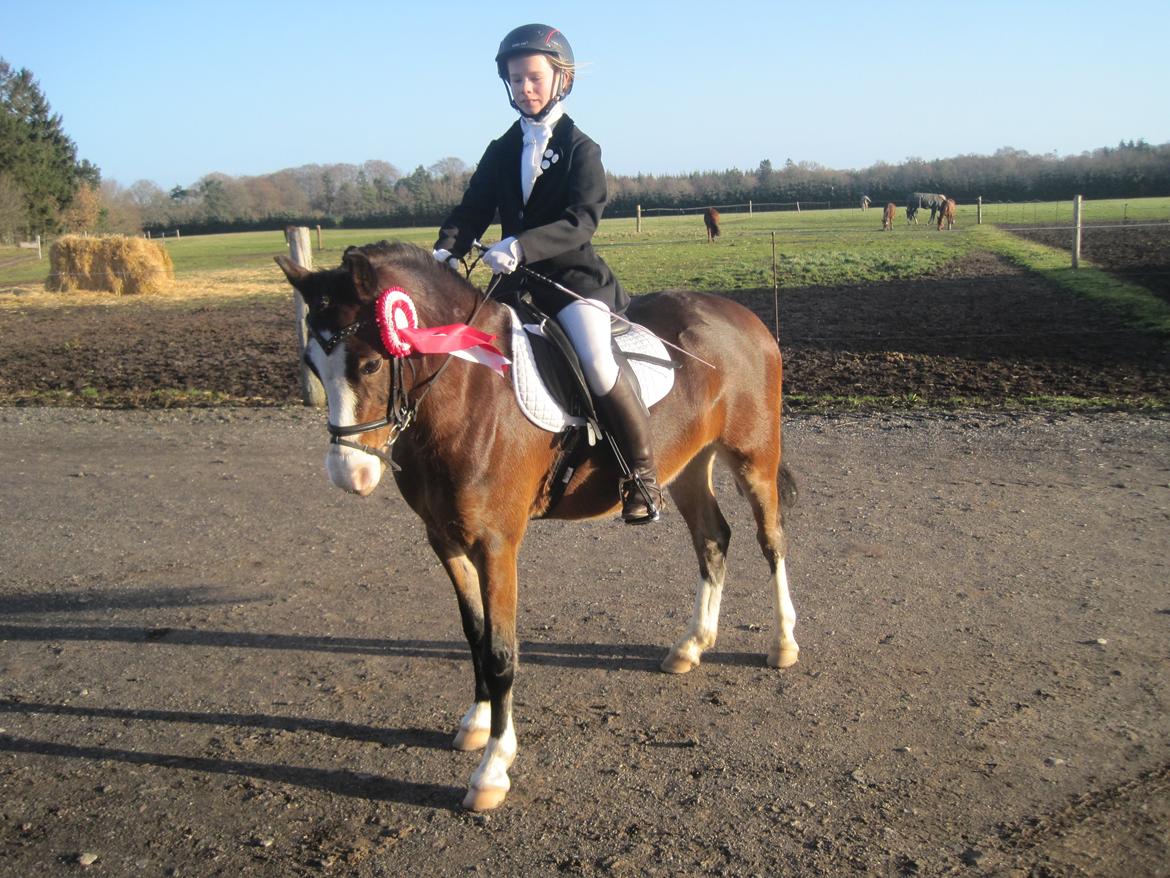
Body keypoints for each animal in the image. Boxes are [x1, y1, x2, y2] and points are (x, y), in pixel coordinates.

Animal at [275, 241, 799, 811]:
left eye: (370, 363)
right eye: (312, 365)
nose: (348, 473)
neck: (467, 392)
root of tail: (739, 313)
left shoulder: (496, 544)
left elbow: (502, 652)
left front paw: (492, 768)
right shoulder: (444, 539)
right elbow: (475, 634)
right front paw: (477, 723)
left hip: (754, 457)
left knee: (771, 541)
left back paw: (783, 644)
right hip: (686, 466)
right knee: (712, 539)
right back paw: (691, 645)